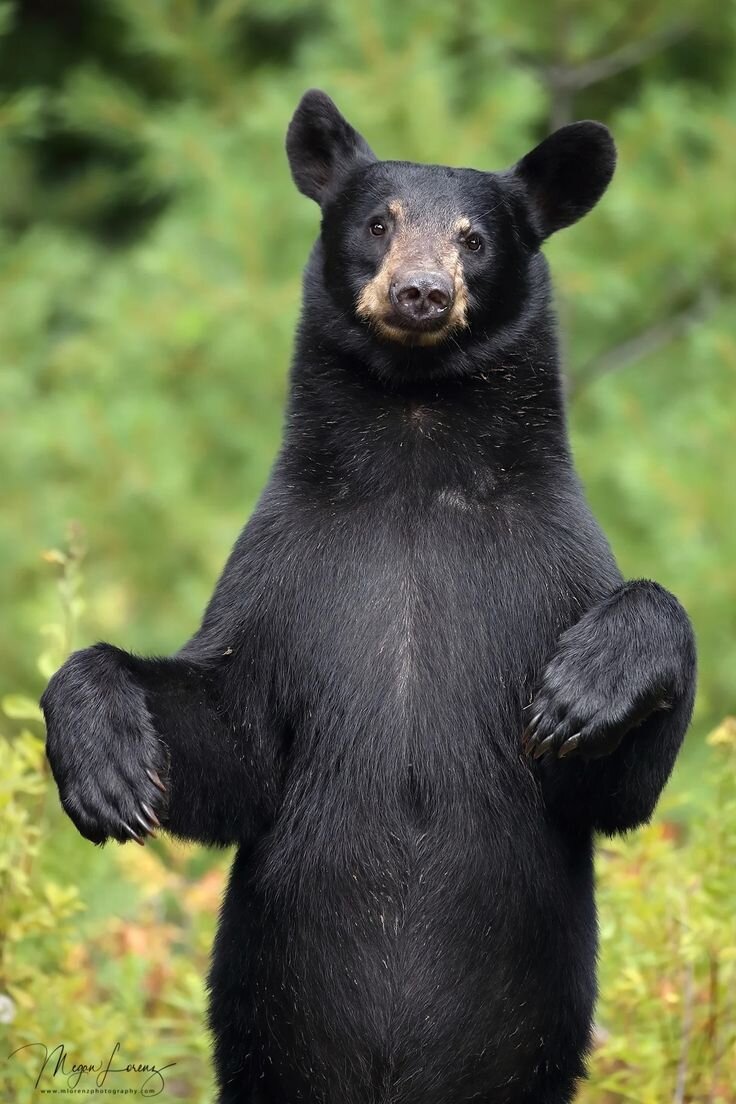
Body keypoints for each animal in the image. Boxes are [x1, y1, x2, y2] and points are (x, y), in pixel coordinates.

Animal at [43, 90, 701, 1099]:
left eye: (475, 238)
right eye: (378, 222)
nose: (421, 292)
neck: (415, 452)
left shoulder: (547, 565)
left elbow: (613, 781)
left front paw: (584, 692)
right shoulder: (289, 571)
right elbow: (231, 738)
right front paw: (109, 767)